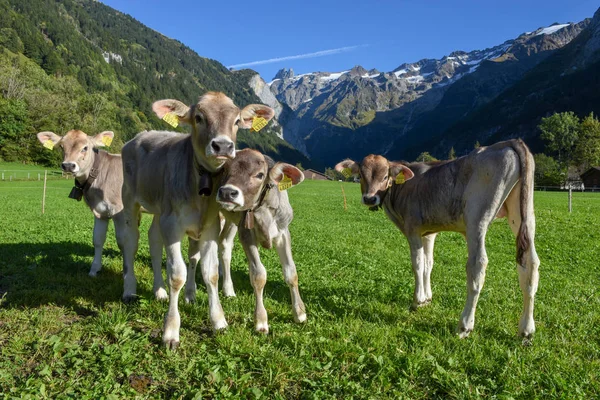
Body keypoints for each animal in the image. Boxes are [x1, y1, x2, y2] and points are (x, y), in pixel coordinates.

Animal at [216, 148, 308, 332]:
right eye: (224, 169)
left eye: (260, 174)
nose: (227, 192)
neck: (264, 209)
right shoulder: (246, 234)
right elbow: (258, 275)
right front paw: (260, 320)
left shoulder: (283, 232)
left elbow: (291, 272)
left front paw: (299, 313)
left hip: (231, 221)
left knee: (224, 245)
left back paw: (228, 288)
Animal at [338, 139, 540, 340]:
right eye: (361, 174)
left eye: (385, 175)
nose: (370, 199)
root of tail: (506, 143)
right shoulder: (429, 233)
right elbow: (429, 263)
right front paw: (427, 297)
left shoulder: (413, 228)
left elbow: (418, 263)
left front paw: (418, 301)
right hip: (524, 216)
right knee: (530, 264)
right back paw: (526, 329)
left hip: (477, 219)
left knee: (477, 265)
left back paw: (465, 325)